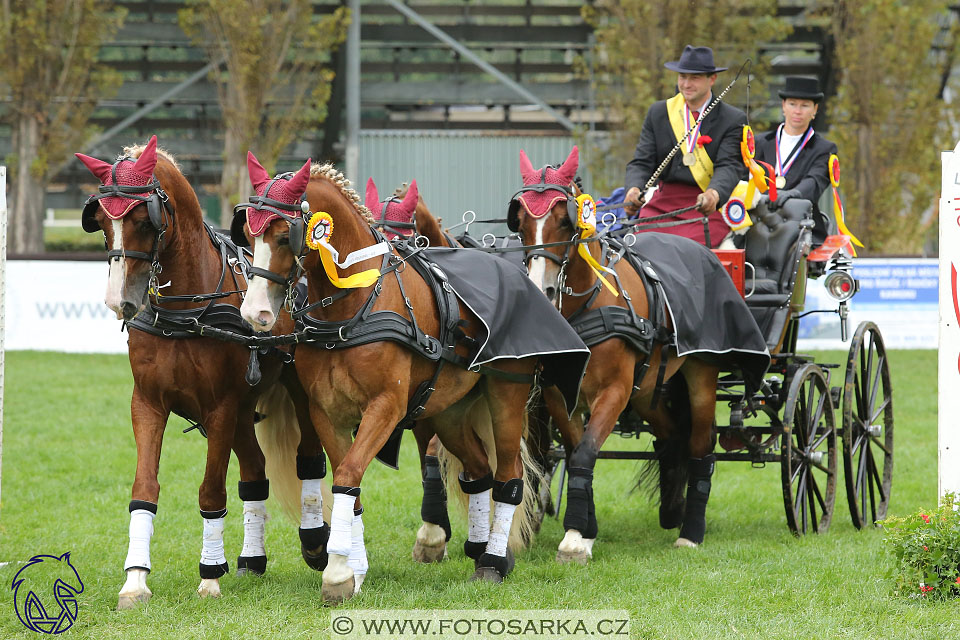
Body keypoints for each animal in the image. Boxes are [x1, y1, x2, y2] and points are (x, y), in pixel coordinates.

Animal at [72, 138, 326, 608]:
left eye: (143, 219)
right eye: (99, 221)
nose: (120, 301)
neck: (187, 311)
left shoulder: (219, 408)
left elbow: (211, 491)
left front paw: (209, 576)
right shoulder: (148, 404)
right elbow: (144, 489)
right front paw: (135, 580)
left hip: (296, 395)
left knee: (309, 459)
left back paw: (315, 542)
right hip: (245, 410)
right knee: (255, 471)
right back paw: (251, 559)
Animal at [238, 158, 548, 604]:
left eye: (283, 236)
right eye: (247, 233)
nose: (255, 314)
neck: (354, 306)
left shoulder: (385, 407)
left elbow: (349, 474)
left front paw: (337, 572)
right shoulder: (325, 412)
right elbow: (348, 484)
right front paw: (354, 569)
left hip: (507, 393)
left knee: (509, 475)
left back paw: (492, 560)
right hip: (449, 412)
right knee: (478, 470)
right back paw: (479, 549)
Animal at [510, 148, 720, 556]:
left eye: (565, 221)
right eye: (522, 222)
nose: (541, 290)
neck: (586, 303)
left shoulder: (614, 391)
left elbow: (587, 451)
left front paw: (575, 538)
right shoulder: (560, 396)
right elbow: (576, 452)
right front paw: (584, 530)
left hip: (700, 376)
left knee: (701, 446)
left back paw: (691, 531)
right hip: (649, 389)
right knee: (672, 438)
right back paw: (672, 510)